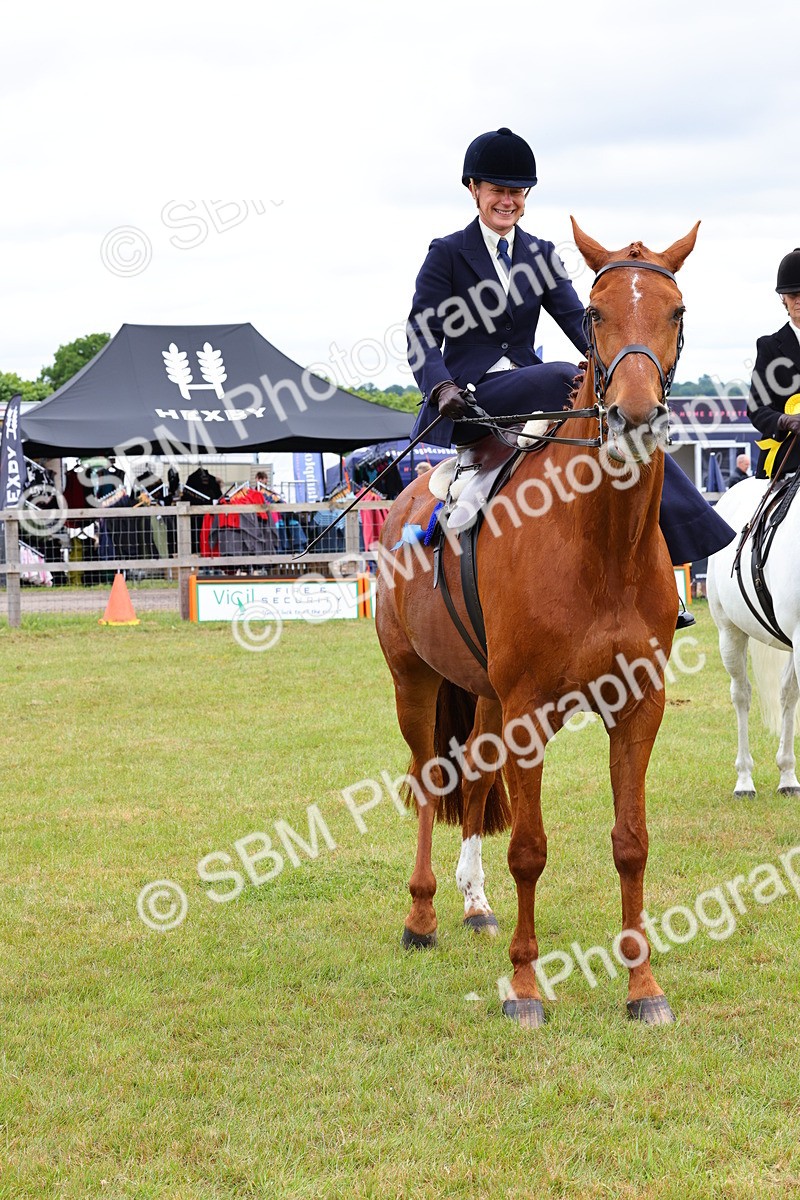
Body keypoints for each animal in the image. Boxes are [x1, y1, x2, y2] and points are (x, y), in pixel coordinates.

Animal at [375, 218, 700, 1027]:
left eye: (676, 311)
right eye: (594, 312)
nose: (634, 419)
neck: (600, 544)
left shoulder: (638, 706)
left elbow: (631, 842)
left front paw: (642, 986)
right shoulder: (528, 713)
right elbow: (529, 848)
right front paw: (524, 988)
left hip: (484, 694)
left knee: (474, 777)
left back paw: (474, 905)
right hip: (415, 682)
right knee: (430, 781)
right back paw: (422, 915)